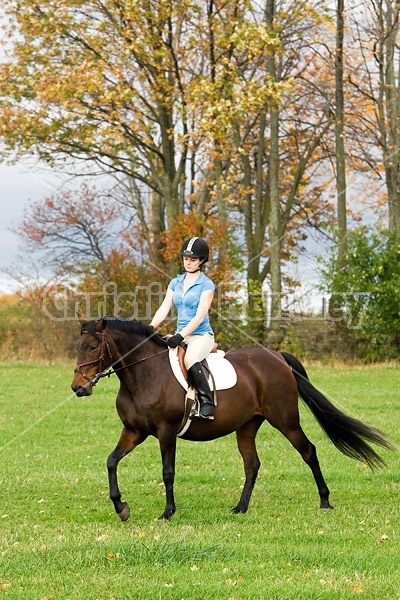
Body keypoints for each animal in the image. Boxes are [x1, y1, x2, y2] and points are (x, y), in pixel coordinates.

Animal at [71, 318, 394, 520]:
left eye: (92, 347)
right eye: (78, 347)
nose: (78, 388)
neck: (144, 375)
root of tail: (277, 357)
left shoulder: (165, 432)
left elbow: (168, 472)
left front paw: (167, 512)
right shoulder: (134, 431)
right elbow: (111, 461)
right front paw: (121, 507)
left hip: (286, 420)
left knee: (308, 451)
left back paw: (325, 501)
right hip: (247, 426)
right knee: (252, 465)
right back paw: (241, 507)